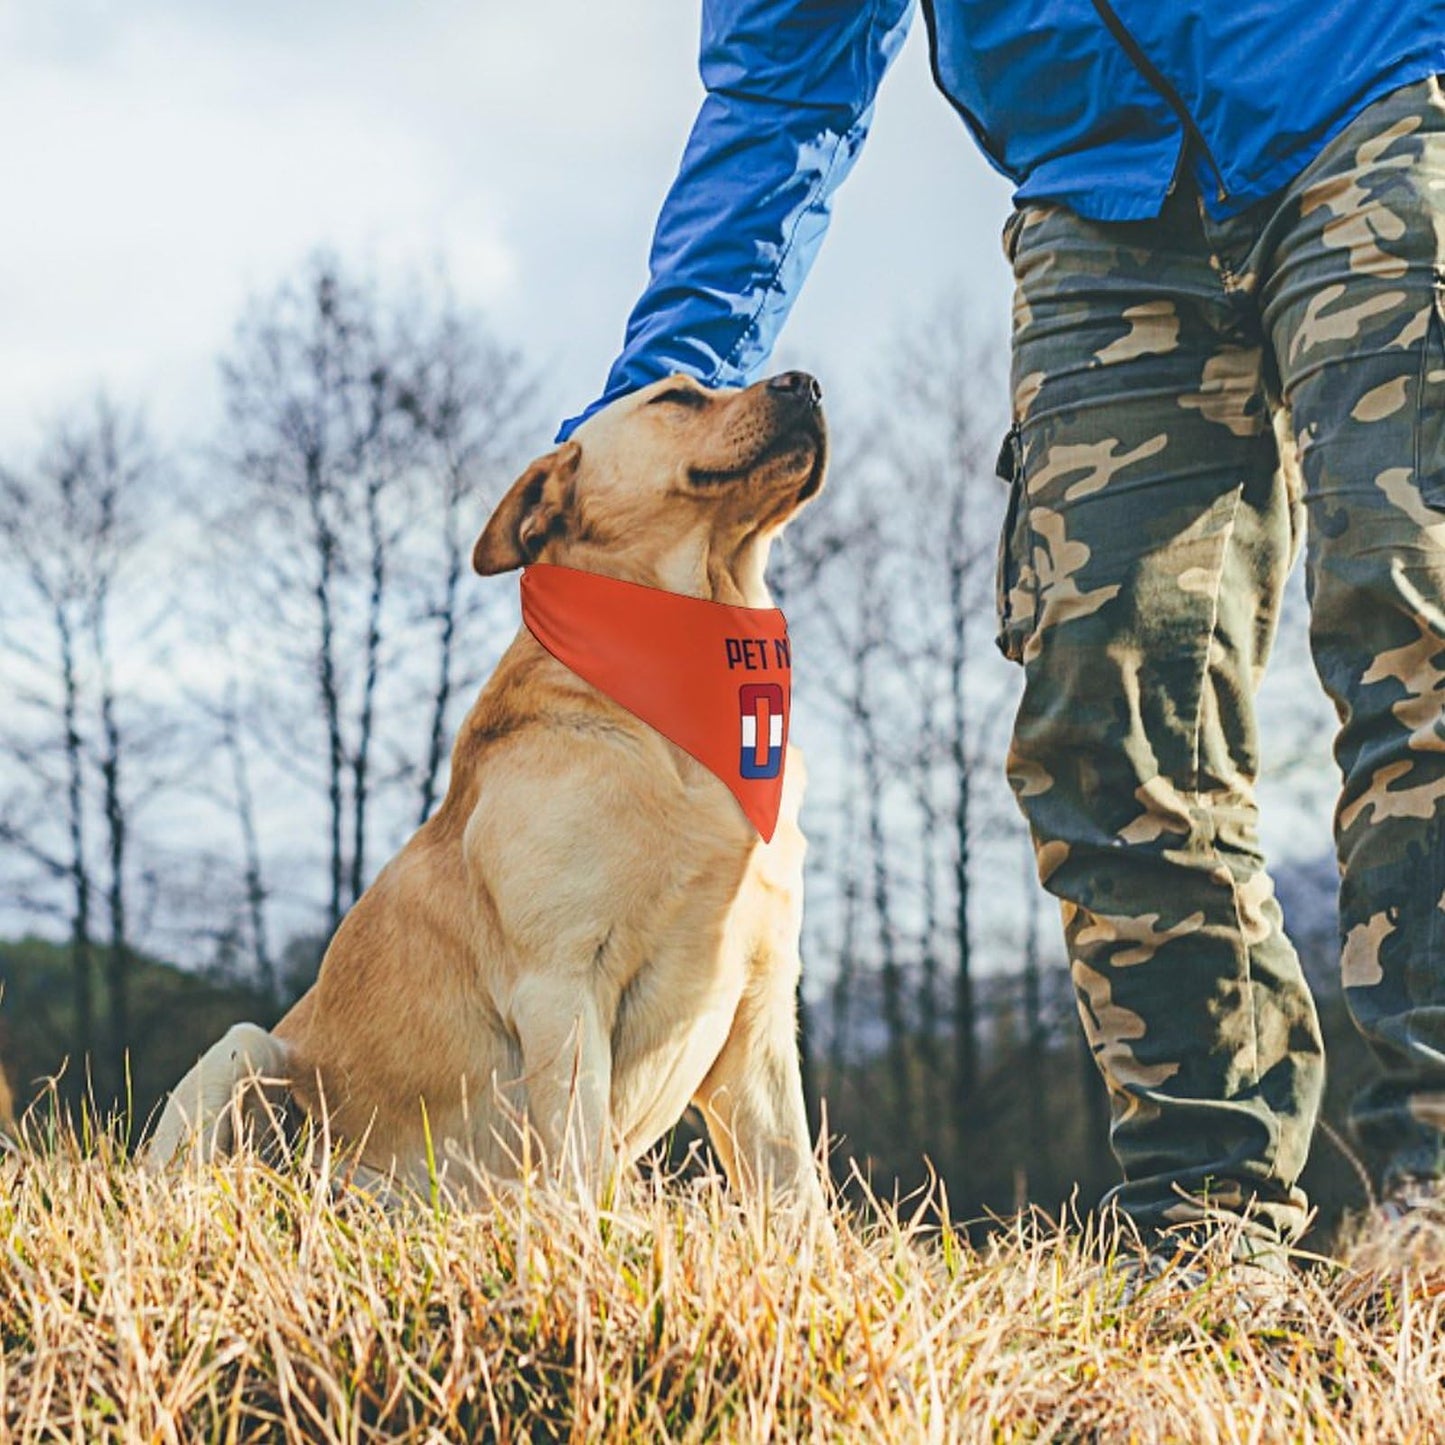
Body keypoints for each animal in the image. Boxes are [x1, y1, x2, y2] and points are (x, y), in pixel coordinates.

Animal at [151, 367, 832, 1213]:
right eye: (676, 397)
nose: (807, 384)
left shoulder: (761, 1000)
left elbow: (797, 1190)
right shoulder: (561, 981)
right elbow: (581, 1157)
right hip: (244, 1051)